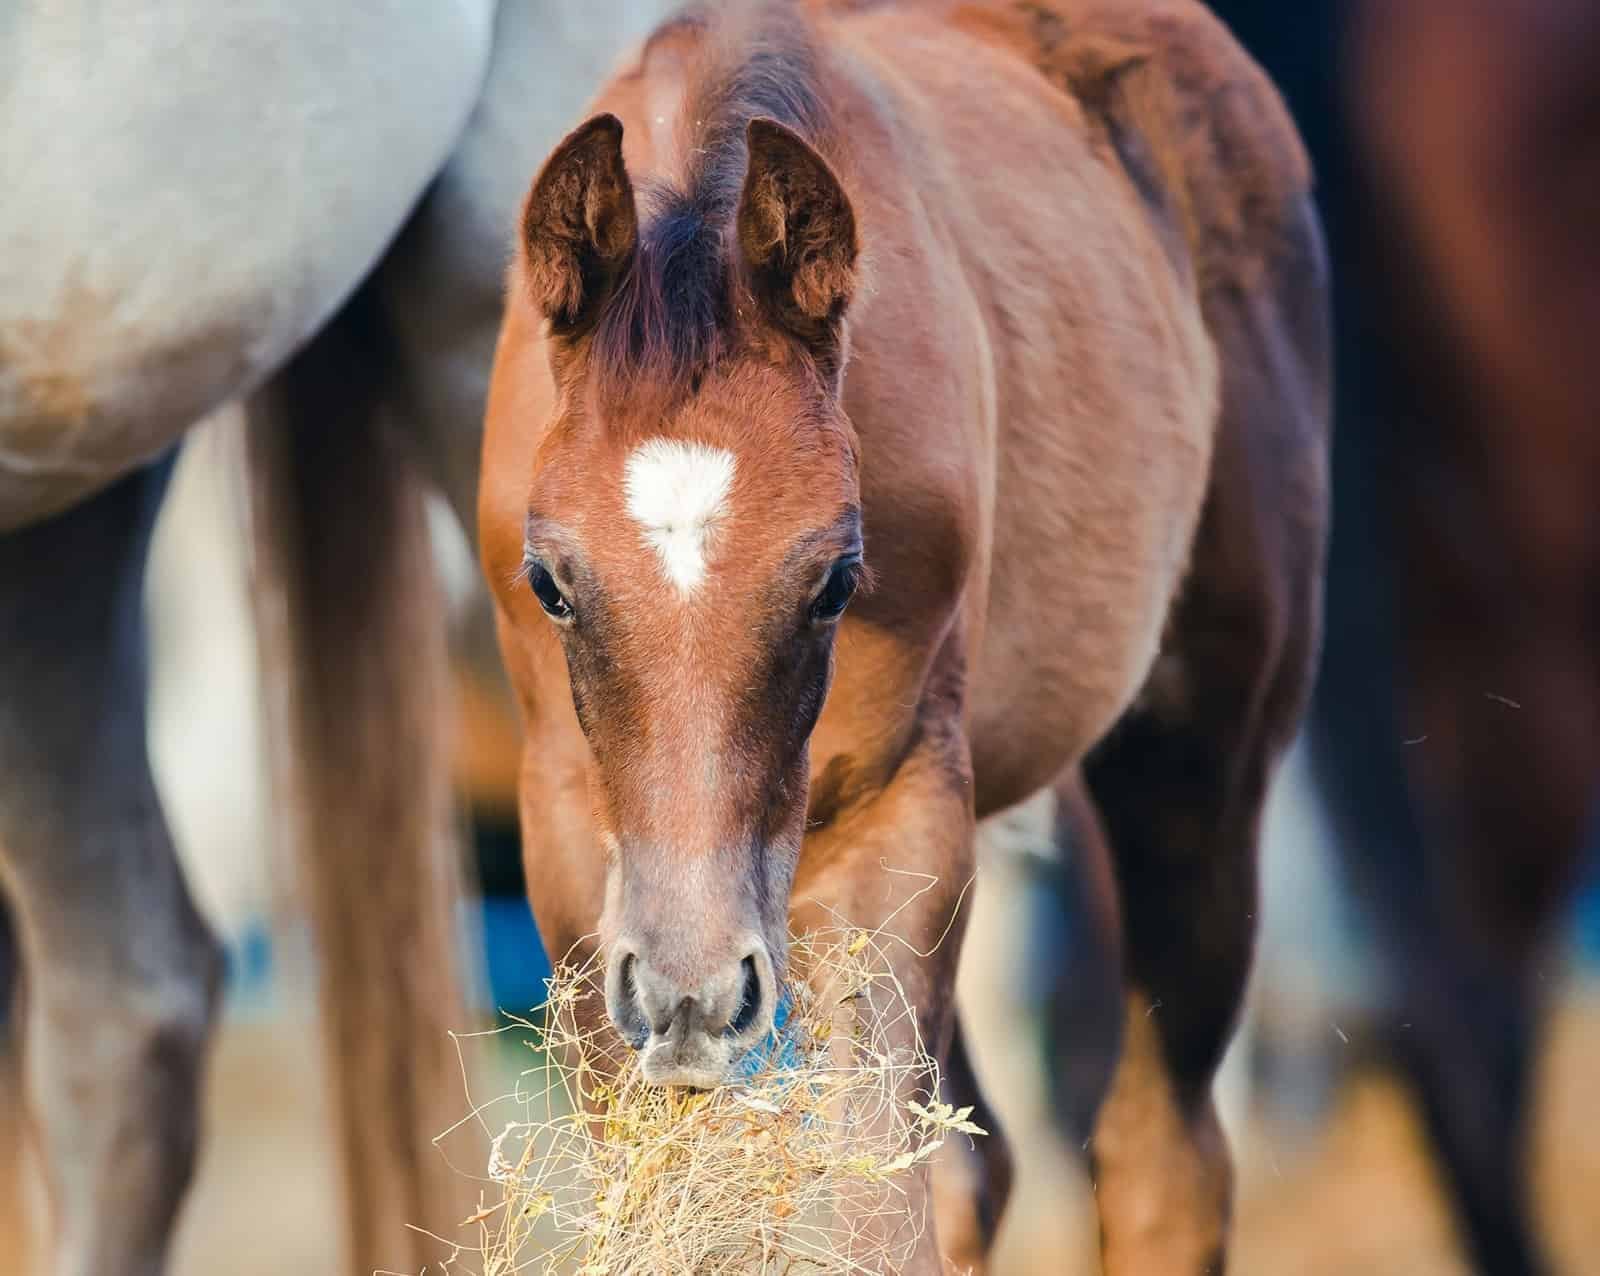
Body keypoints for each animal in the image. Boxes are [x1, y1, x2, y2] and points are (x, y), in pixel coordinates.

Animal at [478, 0, 1329, 1269]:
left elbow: (883, 1203)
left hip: (1200, 762)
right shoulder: (569, 834)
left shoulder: (900, 807)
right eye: (550, 584)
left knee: (1158, 1156)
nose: (692, 994)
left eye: (837, 581)